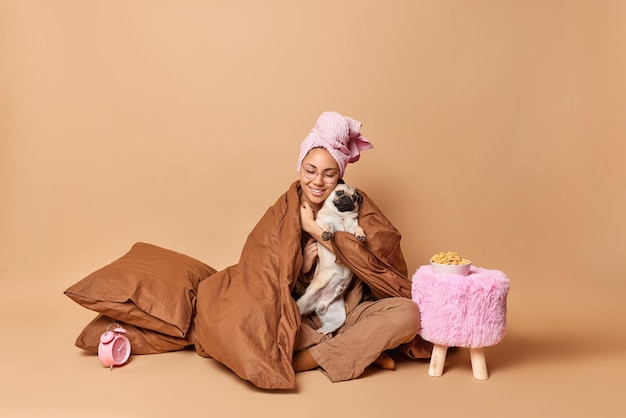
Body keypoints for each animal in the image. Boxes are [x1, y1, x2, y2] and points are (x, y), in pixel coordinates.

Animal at [294, 181, 364, 334]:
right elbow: (329, 225)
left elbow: (357, 228)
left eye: (354, 197)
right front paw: (327, 233)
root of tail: (320, 304)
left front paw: (361, 235)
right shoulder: (322, 222)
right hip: (302, 302)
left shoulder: (352, 227)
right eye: (339, 193)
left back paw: (321, 333)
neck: (341, 216)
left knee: (325, 329)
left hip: (337, 318)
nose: (347, 198)